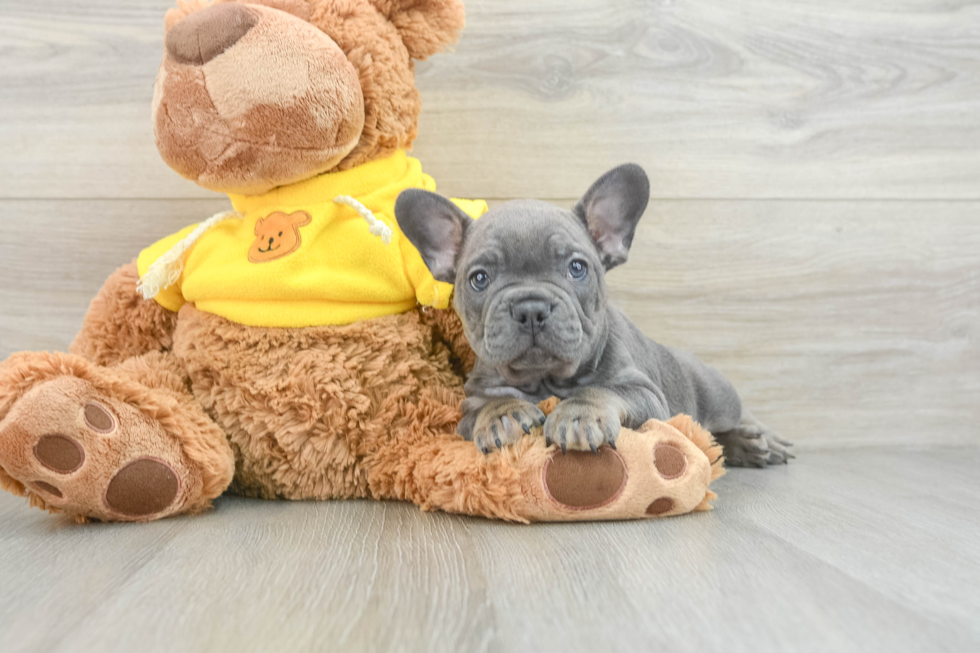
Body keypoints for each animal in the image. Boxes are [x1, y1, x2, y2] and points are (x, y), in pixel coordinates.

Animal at [394, 166, 792, 466]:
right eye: (479, 279)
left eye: (576, 268)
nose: (531, 308)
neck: (546, 380)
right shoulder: (471, 400)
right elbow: (486, 405)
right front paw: (502, 415)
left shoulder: (646, 394)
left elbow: (600, 390)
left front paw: (578, 415)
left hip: (717, 394)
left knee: (734, 418)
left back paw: (762, 440)